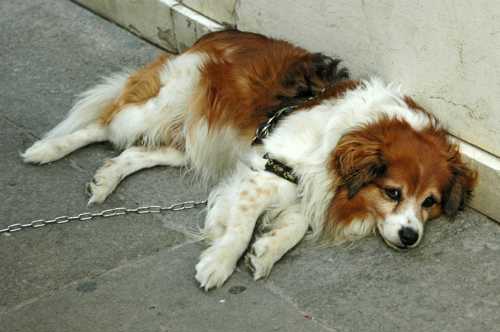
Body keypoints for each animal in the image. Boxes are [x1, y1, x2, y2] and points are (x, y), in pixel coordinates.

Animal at [22, 31, 476, 290]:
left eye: (430, 202)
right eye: (393, 192)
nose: (410, 237)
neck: (343, 136)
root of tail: (210, 37)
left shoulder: (304, 187)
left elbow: (294, 228)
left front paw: (268, 250)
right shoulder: (267, 171)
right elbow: (239, 231)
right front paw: (220, 262)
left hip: (192, 140)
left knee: (134, 152)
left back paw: (106, 180)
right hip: (157, 107)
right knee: (101, 125)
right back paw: (46, 150)